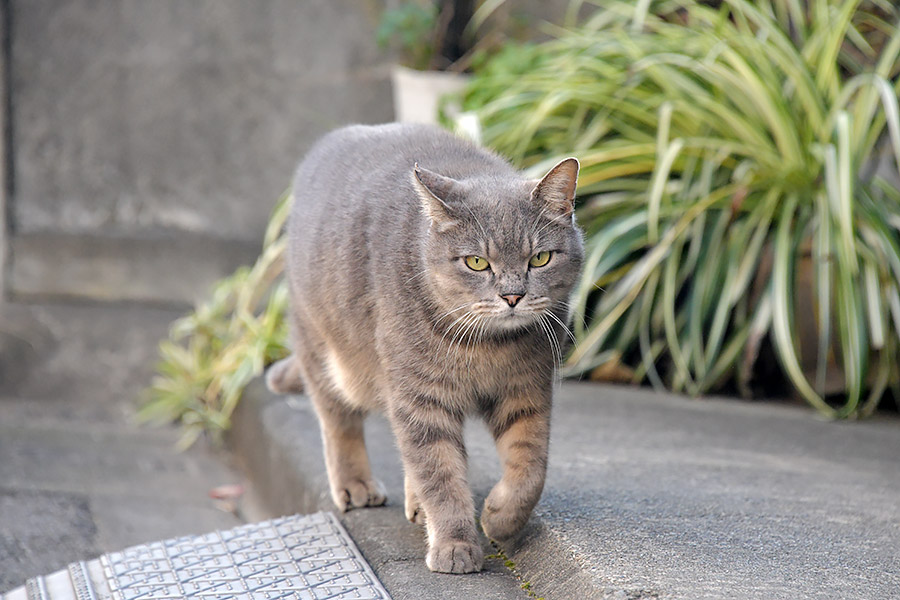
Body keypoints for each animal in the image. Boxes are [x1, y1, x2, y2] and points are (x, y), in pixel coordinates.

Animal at [268, 120, 584, 572]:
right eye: (476, 263)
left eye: (540, 258)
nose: (512, 296)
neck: (489, 347)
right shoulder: (420, 397)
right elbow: (439, 473)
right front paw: (455, 544)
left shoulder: (527, 391)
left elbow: (530, 467)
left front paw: (499, 518)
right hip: (328, 354)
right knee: (338, 420)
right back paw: (356, 485)